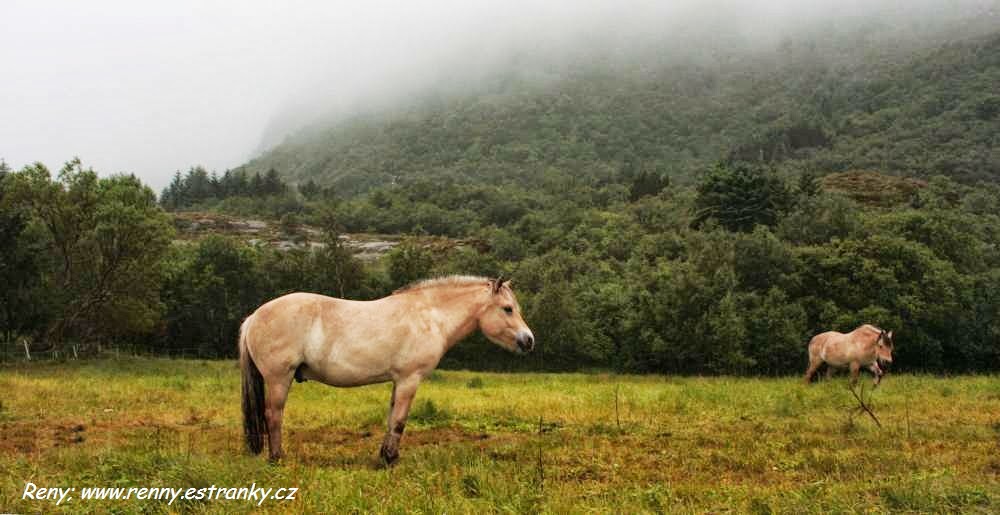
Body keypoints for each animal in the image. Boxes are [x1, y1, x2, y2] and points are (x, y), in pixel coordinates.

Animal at [239, 276, 536, 466]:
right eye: (508, 309)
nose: (529, 340)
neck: (429, 316)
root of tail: (254, 317)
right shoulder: (409, 380)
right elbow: (400, 421)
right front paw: (391, 460)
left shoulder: (398, 381)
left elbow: (392, 418)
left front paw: (384, 456)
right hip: (279, 378)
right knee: (273, 415)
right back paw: (277, 459)